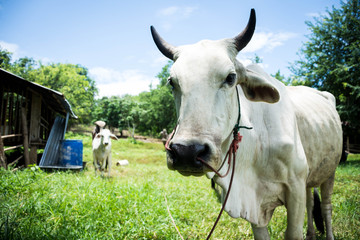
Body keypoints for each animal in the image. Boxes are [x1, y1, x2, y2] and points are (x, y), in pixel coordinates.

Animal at [150, 7, 342, 240]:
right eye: (172, 82)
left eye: (231, 77)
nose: (186, 152)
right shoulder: (254, 207)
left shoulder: (295, 188)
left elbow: (294, 230)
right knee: (311, 201)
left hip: (330, 171)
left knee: (326, 206)